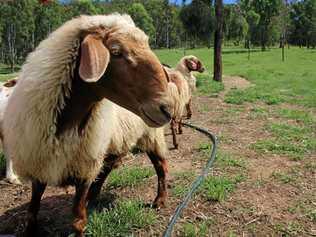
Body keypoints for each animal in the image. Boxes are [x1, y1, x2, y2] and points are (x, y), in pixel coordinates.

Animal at [2, 14, 172, 237]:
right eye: (116, 52)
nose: (166, 108)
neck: (66, 123)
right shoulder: (40, 163)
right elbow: (32, 210)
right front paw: (30, 230)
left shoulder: (83, 168)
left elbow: (78, 220)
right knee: (108, 166)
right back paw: (95, 195)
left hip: (150, 135)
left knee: (161, 167)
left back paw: (160, 200)